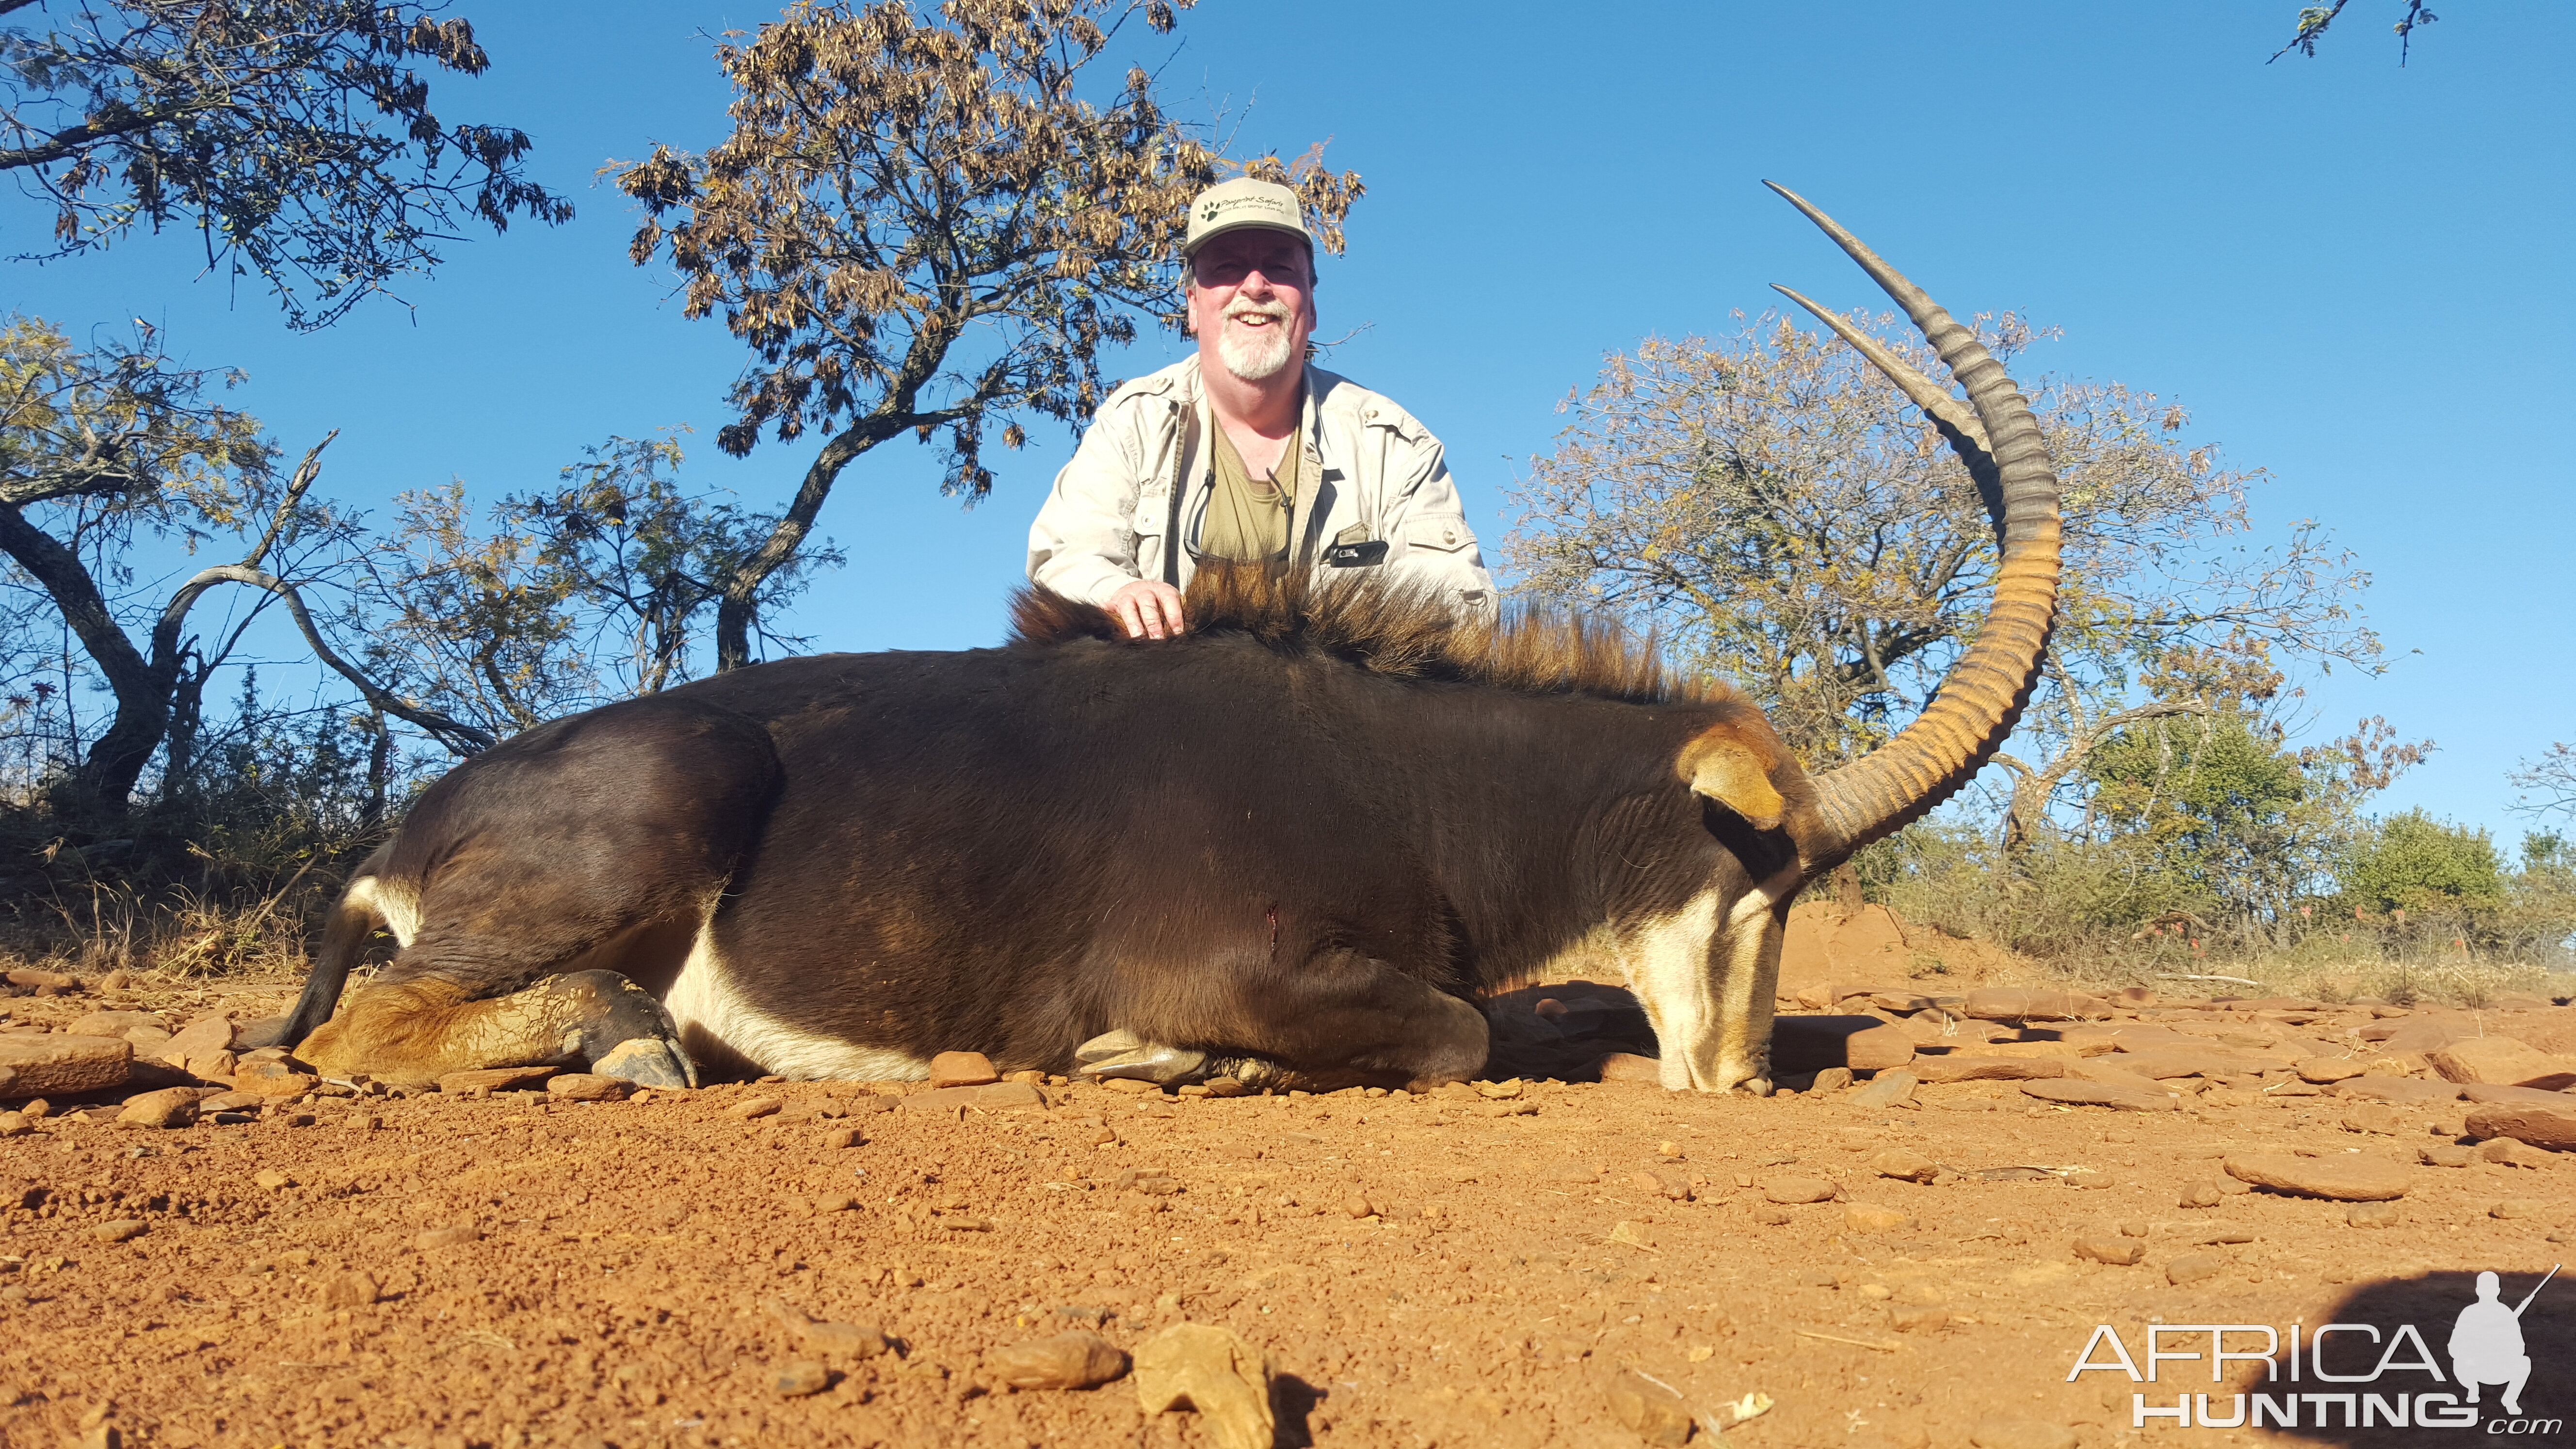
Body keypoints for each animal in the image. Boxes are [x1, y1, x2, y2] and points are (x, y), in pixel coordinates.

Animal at [261, 185, 2061, 1093]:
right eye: (1765, 881)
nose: (1742, 1078)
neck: (1407, 771)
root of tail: (413, 827)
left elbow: (1529, 1014)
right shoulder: (1232, 962)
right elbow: (1462, 1028)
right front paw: (1171, 1063)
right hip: (665, 805)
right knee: (365, 1033)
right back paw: (630, 1043)